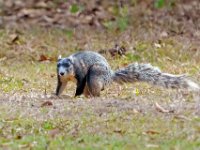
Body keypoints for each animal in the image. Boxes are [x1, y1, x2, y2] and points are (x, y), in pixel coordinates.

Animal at [55, 51, 199, 96]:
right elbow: (60, 87)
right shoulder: (61, 80)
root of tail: (110, 75)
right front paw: (56, 95)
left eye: (68, 65)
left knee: (95, 87)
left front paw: (75, 96)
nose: (61, 72)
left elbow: (80, 84)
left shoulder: (81, 72)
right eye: (58, 65)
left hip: (96, 73)